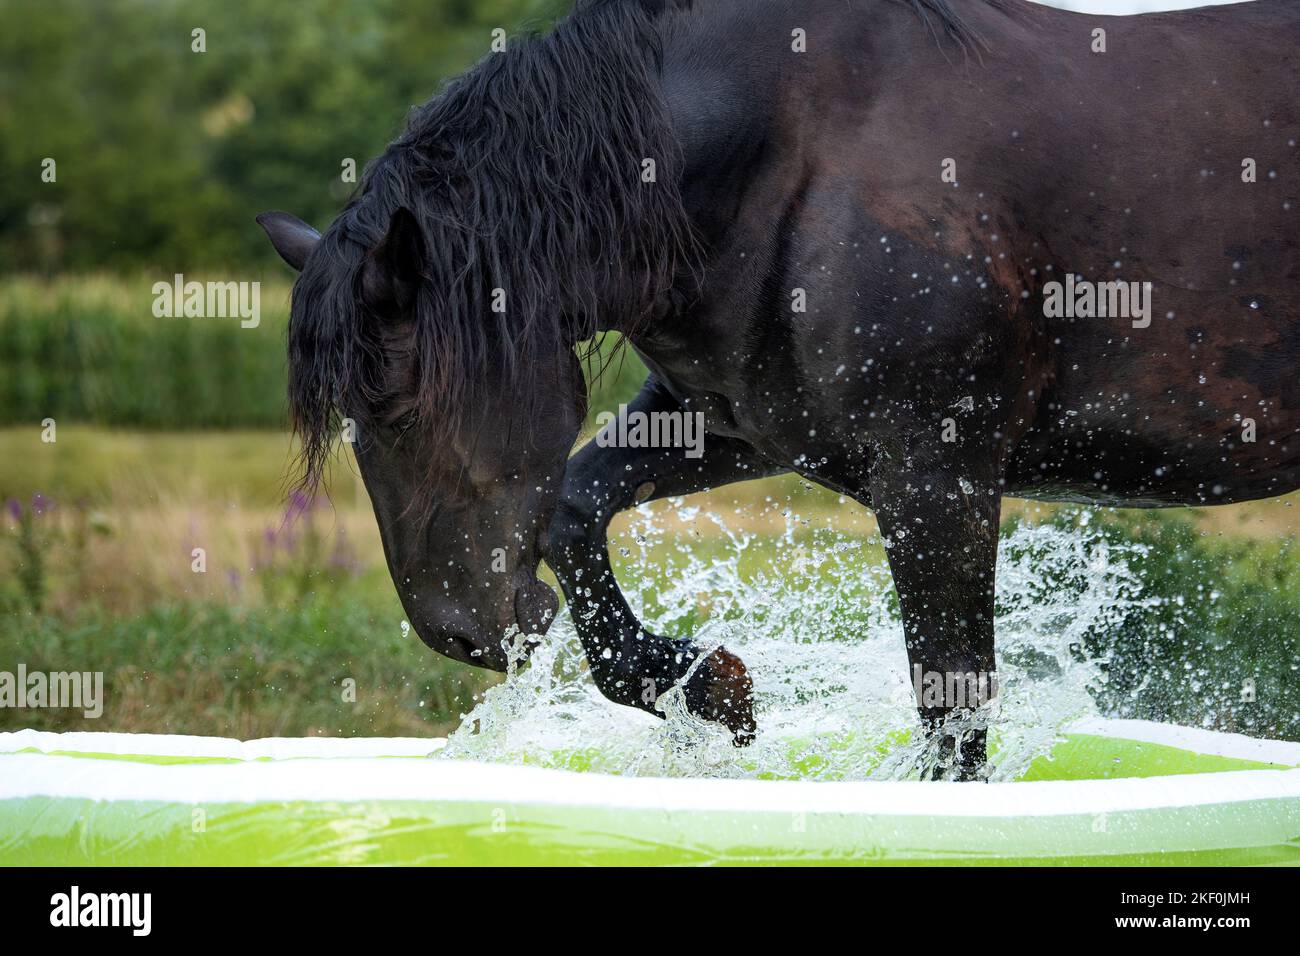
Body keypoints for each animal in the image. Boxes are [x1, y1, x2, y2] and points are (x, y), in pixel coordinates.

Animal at [258, 0, 1300, 778]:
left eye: (397, 404)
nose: (461, 634)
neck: (796, 143)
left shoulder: (938, 479)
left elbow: (951, 706)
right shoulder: (744, 427)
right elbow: (574, 509)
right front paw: (712, 689)